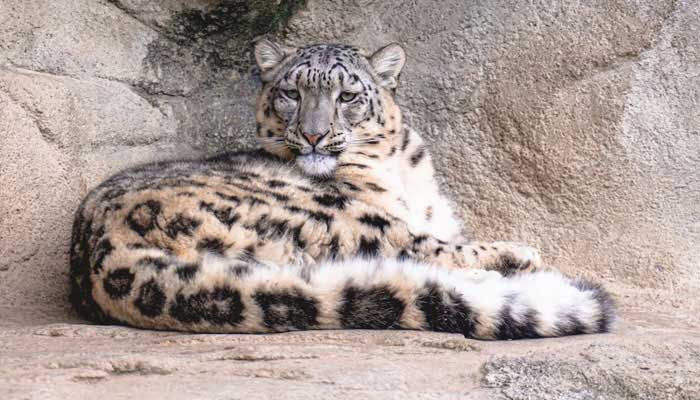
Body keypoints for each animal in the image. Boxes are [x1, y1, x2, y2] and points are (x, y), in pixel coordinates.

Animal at [69, 39, 615, 339]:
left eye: (348, 95)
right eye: (291, 92)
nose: (313, 134)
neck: (402, 168)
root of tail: (101, 259)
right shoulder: (390, 217)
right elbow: (444, 243)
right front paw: (518, 251)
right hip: (331, 212)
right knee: (416, 252)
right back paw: (514, 262)